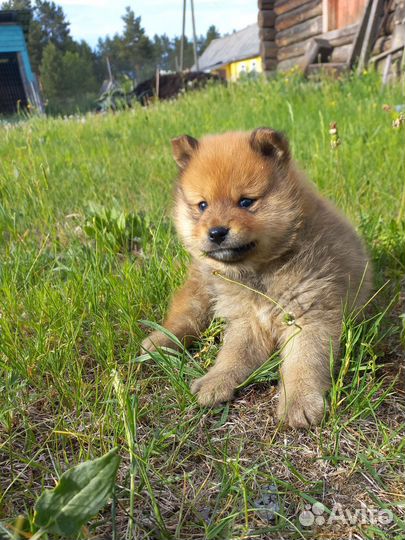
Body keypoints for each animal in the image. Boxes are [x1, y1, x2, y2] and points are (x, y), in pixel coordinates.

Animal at [141, 129, 370, 428]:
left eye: (246, 202)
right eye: (202, 205)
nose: (216, 232)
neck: (261, 272)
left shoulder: (310, 314)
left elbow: (304, 362)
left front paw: (299, 402)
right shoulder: (245, 319)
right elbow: (232, 355)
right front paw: (216, 380)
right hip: (201, 289)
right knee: (185, 317)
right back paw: (158, 342)